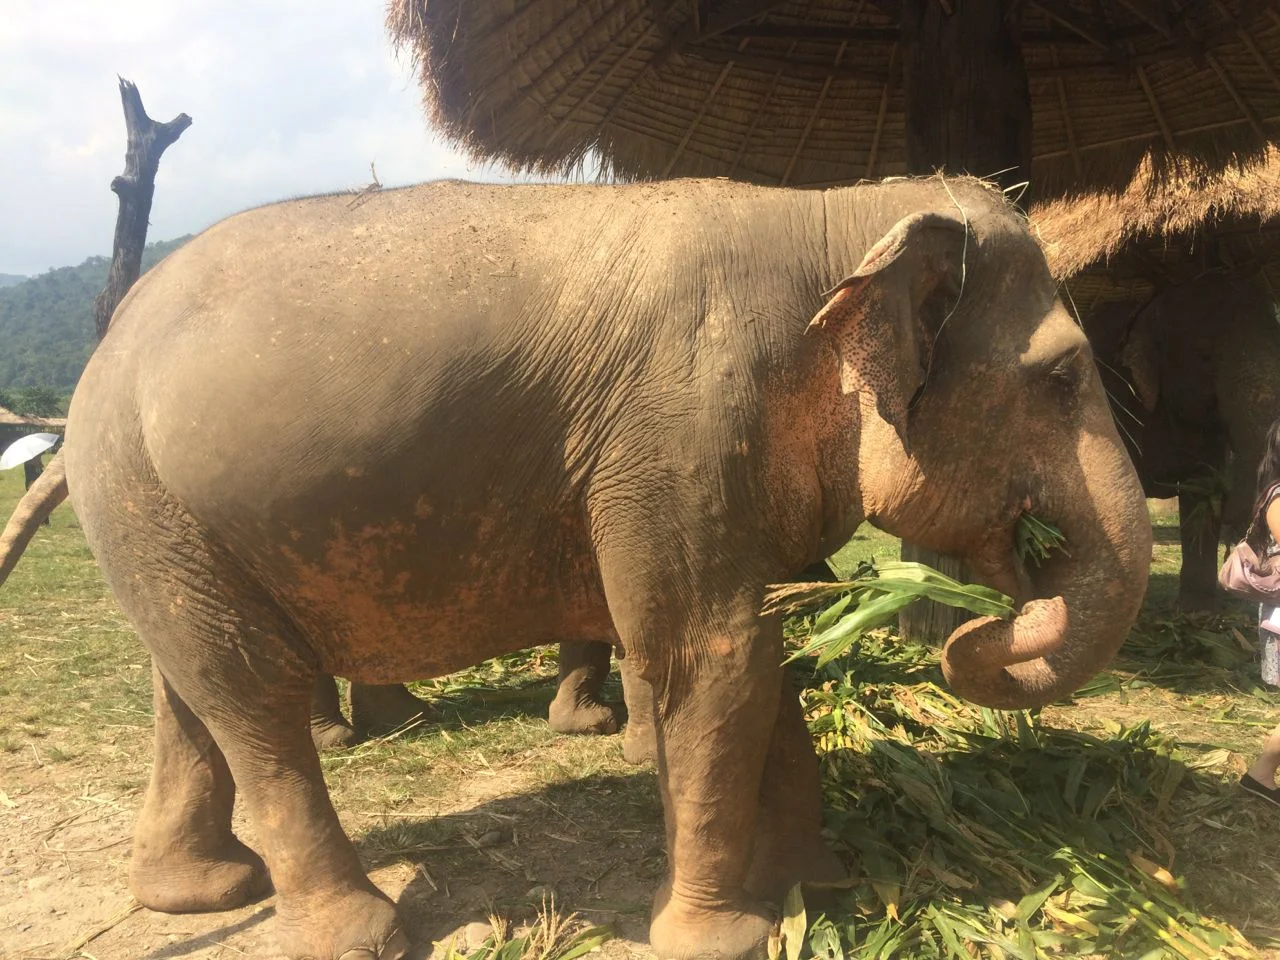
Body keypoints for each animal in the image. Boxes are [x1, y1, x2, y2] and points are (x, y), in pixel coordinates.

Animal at [62, 175, 1149, 960]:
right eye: (1061, 378)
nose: (970, 628)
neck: (833, 213)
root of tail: (109, 337)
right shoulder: (677, 435)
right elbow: (712, 659)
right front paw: (721, 937)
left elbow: (765, 661)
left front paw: (816, 883)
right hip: (143, 492)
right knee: (255, 695)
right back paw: (361, 933)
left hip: (158, 515)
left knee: (191, 689)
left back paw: (204, 891)